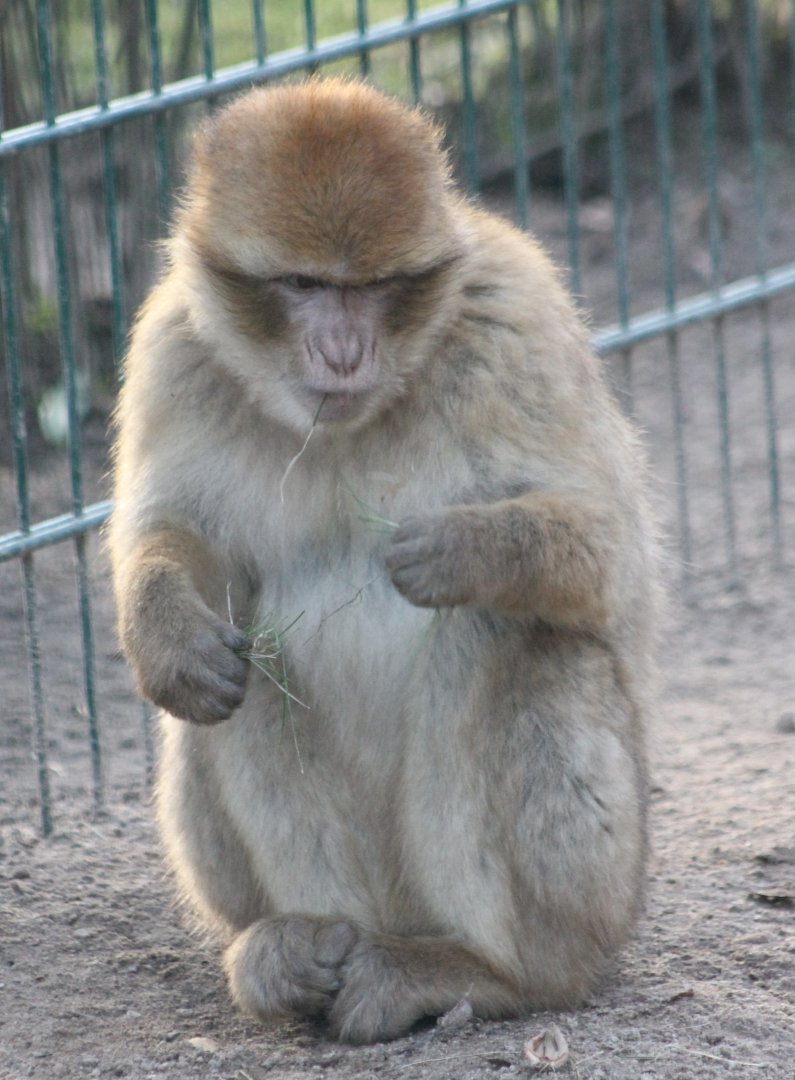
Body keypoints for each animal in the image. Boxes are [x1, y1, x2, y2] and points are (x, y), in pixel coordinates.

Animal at [108, 77, 659, 1044]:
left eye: (370, 288)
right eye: (303, 285)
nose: (341, 351)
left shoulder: (516, 318)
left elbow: (609, 555)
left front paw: (466, 549)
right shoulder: (172, 348)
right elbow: (182, 541)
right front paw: (167, 635)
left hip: (600, 891)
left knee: (504, 636)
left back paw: (484, 973)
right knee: (249, 662)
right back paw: (301, 949)